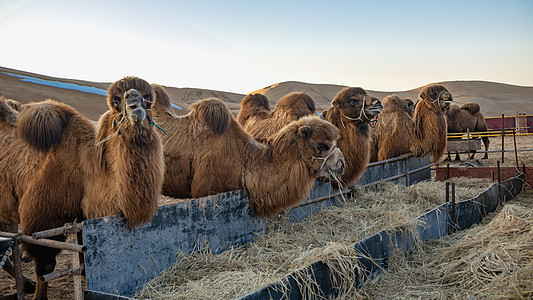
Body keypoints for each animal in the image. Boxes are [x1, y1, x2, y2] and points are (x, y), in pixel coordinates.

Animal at [0, 78, 164, 300]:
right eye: (116, 100)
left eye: (148, 98)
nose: (133, 103)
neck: (84, 168)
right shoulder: (40, 218)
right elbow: (44, 266)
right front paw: (39, 296)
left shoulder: (82, 219)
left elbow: (84, 261)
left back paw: (25, 284)